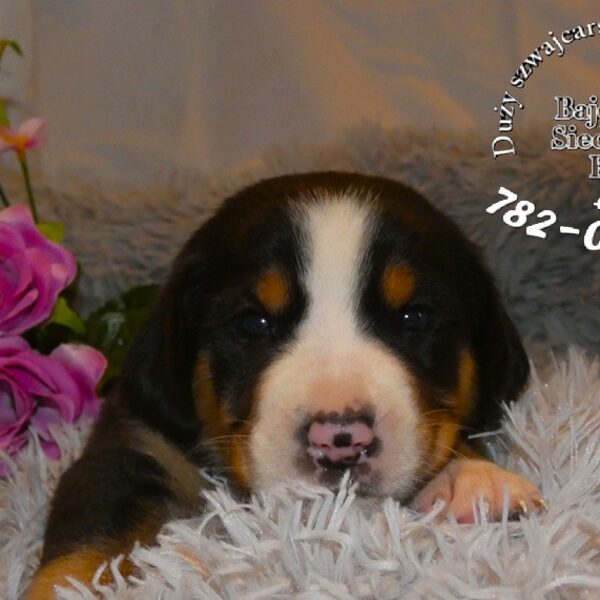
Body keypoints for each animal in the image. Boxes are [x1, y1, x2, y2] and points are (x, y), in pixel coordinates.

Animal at [27, 172, 543, 597]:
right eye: (254, 322)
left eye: (414, 317)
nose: (341, 438)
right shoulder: (132, 449)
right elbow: (84, 552)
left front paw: (475, 478)